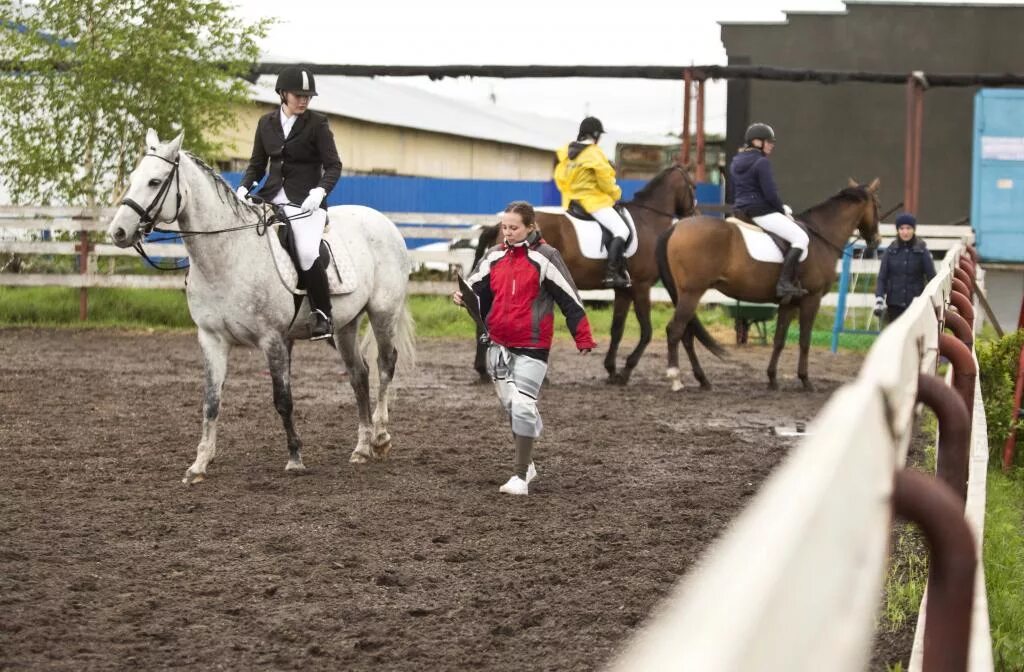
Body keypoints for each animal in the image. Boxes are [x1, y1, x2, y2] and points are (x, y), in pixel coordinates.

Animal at [110, 127, 413, 483]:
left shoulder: (273, 339)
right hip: (344, 325)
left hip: (383, 313)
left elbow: (283, 399)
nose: (118, 232)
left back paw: (380, 437)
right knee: (359, 374)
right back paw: (362, 448)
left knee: (385, 365)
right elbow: (211, 401)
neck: (227, 254)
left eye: (155, 182)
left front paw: (295, 458)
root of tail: (383, 221)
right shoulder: (211, 339)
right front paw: (199, 464)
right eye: (132, 179)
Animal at [471, 161, 704, 383]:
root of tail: (500, 225)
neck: (648, 220)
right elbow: (646, 331)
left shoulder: (624, 290)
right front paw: (626, 371)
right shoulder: (641, 286)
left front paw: (611, 370)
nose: (695, 216)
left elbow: (617, 330)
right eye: (693, 186)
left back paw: (483, 371)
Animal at [659, 178, 884, 391]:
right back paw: (675, 378)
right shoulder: (812, 299)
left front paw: (773, 379)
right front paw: (805, 380)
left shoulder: (789, 303)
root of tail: (677, 226)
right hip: (691, 293)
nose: (877, 241)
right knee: (676, 330)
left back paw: (702, 380)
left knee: (687, 334)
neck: (821, 236)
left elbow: (779, 340)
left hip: (684, 294)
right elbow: (805, 341)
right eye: (877, 205)